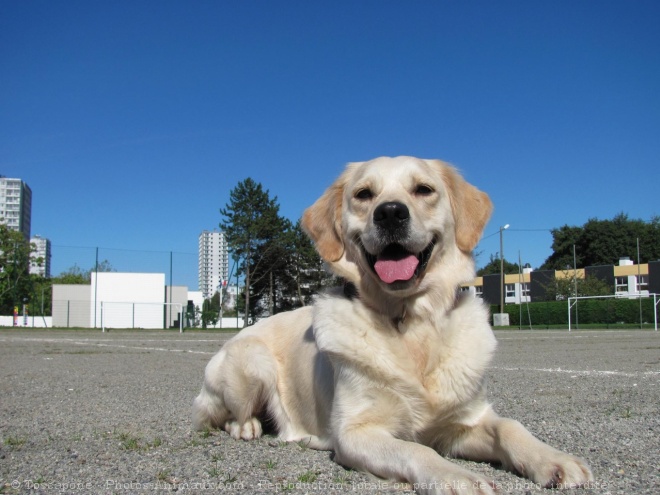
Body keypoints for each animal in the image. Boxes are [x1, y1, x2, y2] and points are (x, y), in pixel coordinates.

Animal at [192, 157, 592, 494]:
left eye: (424, 189)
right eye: (364, 194)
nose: (390, 213)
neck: (410, 320)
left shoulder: (461, 422)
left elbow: (509, 426)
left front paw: (553, 460)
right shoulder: (355, 433)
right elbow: (417, 450)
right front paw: (457, 477)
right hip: (252, 360)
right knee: (223, 415)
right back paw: (248, 426)